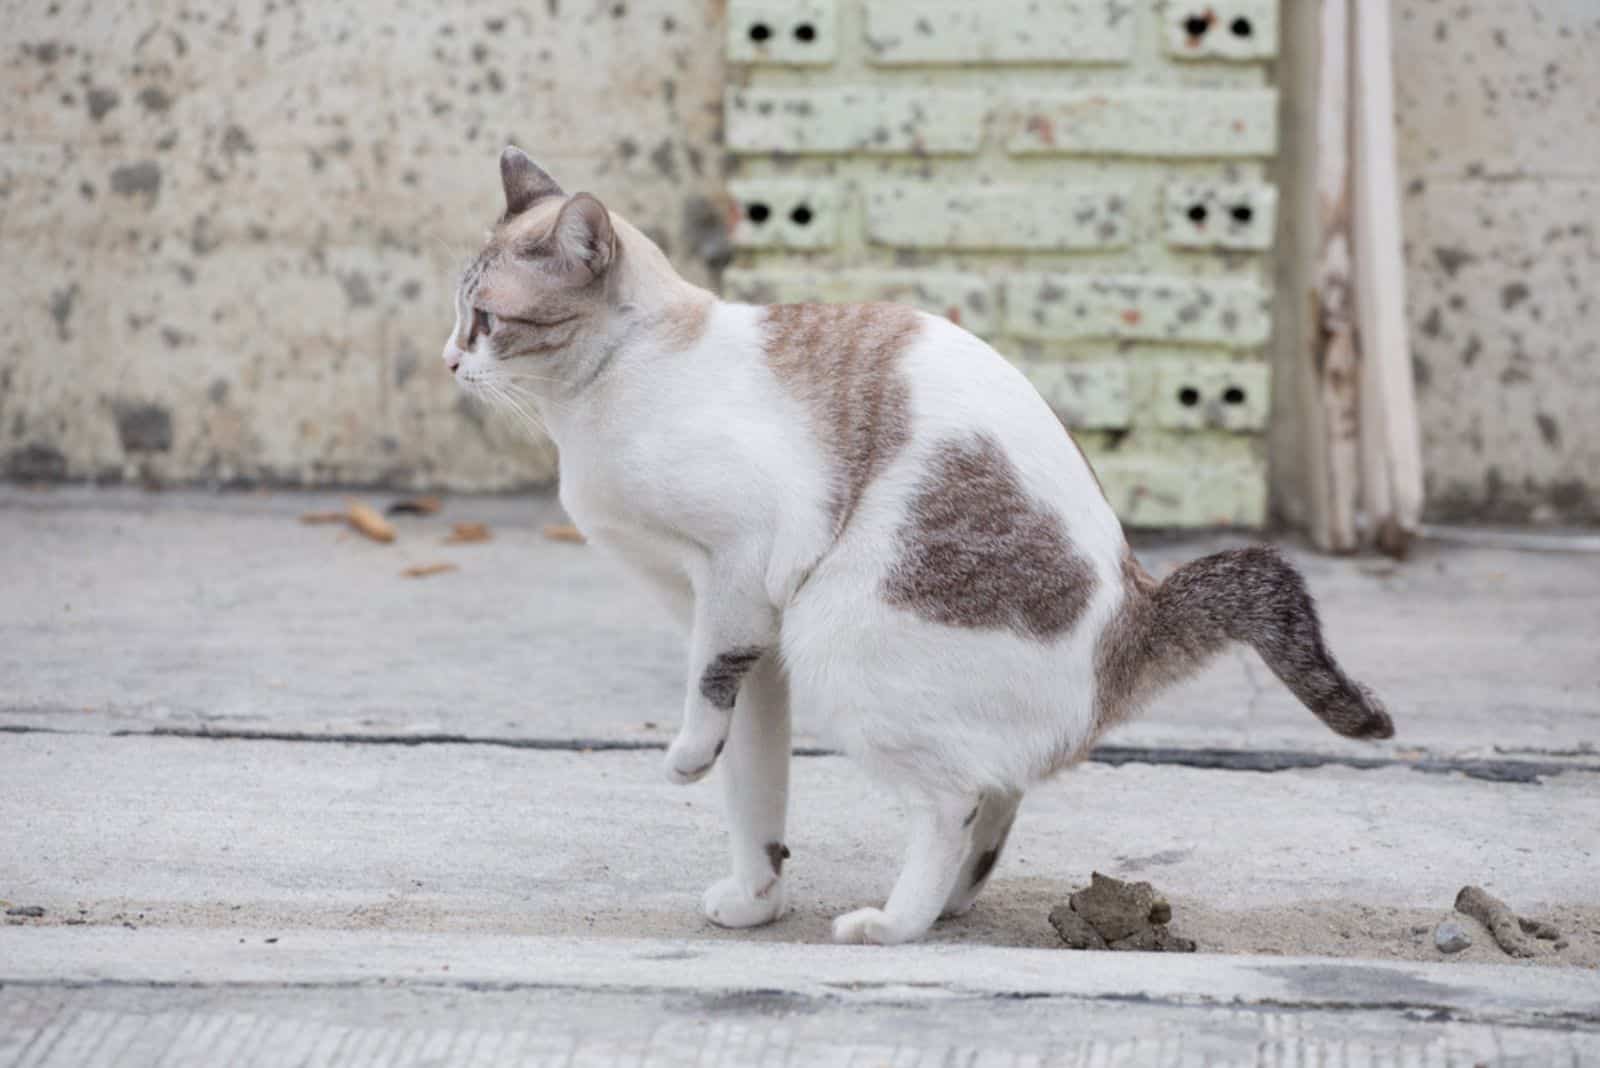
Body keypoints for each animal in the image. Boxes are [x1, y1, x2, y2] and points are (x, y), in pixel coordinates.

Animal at [444, 146, 1395, 946]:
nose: (450, 362)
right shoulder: (747, 633)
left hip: (838, 632)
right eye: (459, 316)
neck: (610, 389)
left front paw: (685, 758)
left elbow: (709, 703)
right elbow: (754, 783)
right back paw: (948, 903)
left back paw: (896, 923)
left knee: (951, 803)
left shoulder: (738, 575)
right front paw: (755, 899)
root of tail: (1136, 614)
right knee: (1000, 790)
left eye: (487, 319)